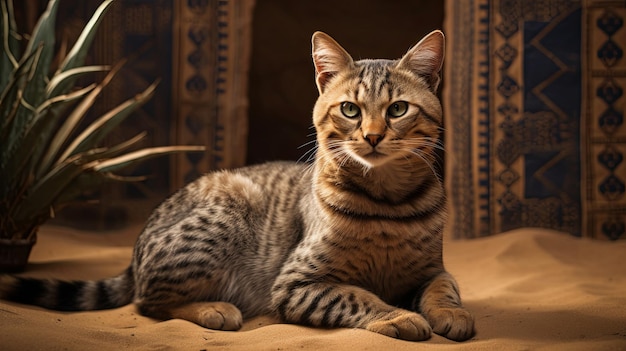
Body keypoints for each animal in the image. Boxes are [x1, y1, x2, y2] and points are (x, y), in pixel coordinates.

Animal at [0, 28, 472, 342]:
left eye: (398, 109)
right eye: (350, 110)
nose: (372, 136)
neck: (386, 202)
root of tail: (135, 253)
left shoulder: (432, 268)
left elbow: (444, 287)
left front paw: (450, 313)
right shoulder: (296, 284)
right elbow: (357, 296)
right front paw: (396, 315)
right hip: (224, 217)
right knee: (147, 300)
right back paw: (215, 308)